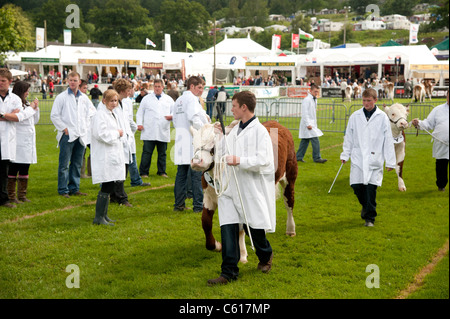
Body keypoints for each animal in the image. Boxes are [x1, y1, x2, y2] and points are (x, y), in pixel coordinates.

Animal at [189, 121, 298, 264]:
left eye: (214, 143)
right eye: (193, 143)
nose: (196, 162)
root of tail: (276, 123)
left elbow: (239, 228)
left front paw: (242, 254)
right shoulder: (208, 196)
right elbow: (205, 222)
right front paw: (217, 245)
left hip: (290, 175)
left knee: (289, 203)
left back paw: (290, 229)